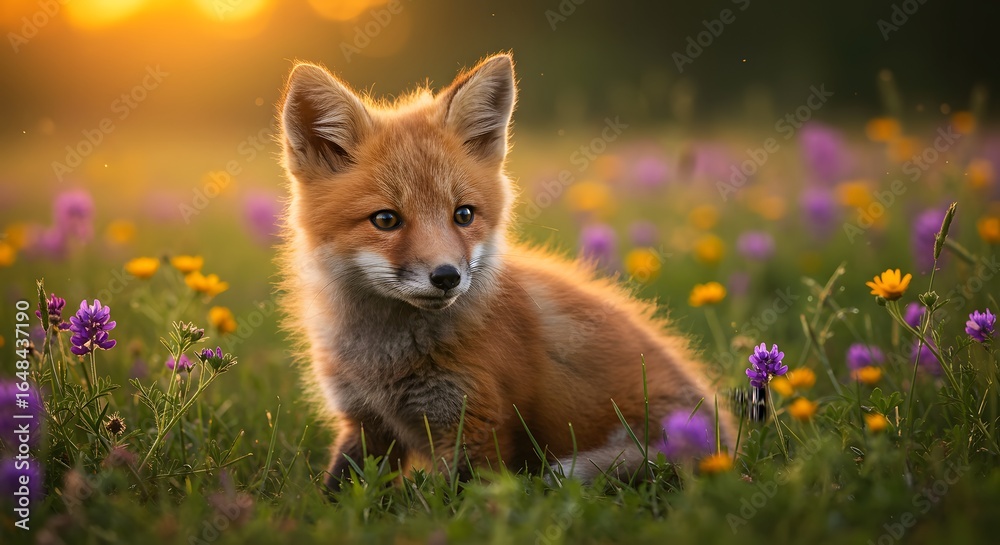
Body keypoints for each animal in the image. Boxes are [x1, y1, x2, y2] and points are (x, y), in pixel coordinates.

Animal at [277, 53, 736, 486]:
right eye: (386, 220)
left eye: (463, 215)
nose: (447, 277)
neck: (384, 359)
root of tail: (725, 445)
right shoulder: (364, 423)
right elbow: (338, 491)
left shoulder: (476, 425)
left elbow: (463, 500)